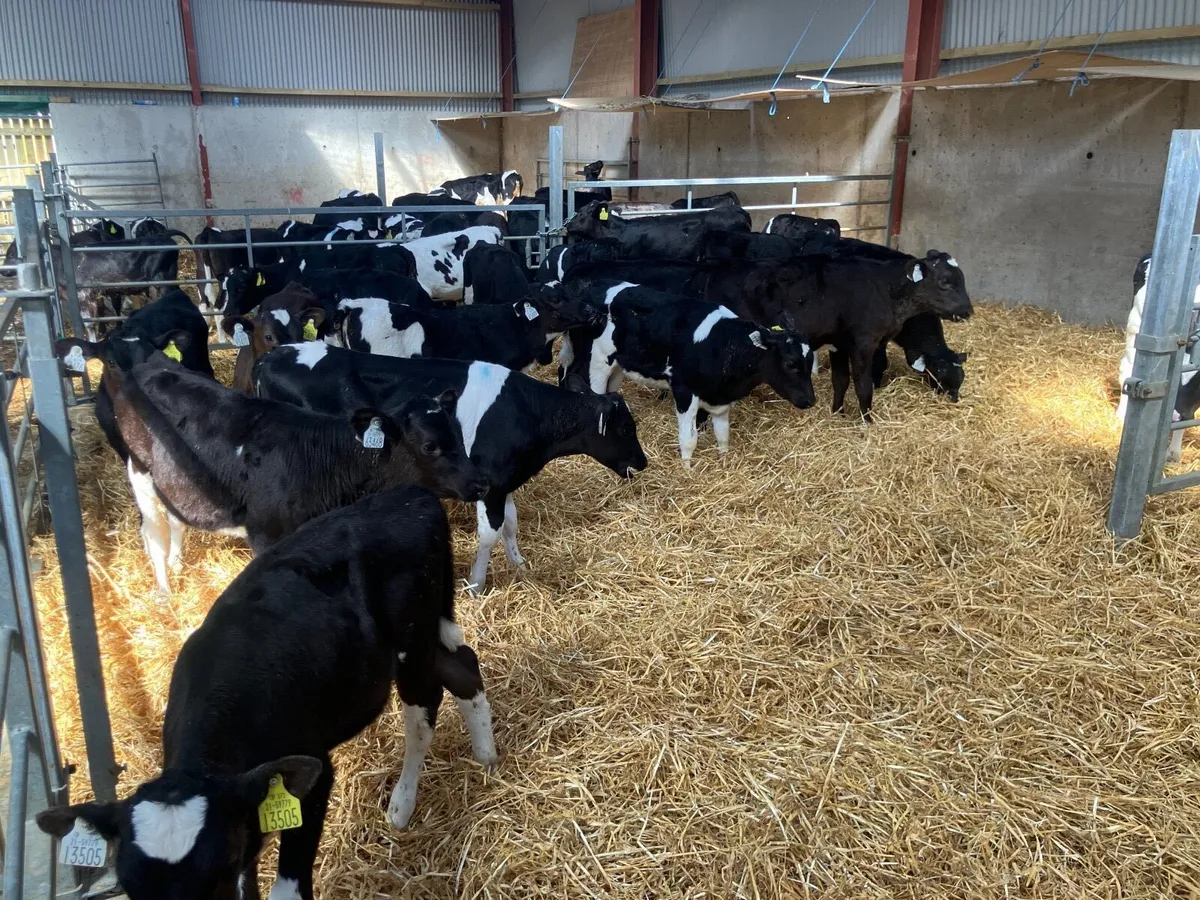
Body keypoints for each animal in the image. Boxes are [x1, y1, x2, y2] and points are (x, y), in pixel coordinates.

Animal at [36, 486, 497, 900]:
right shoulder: (245, 818)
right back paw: (486, 753)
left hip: (412, 642)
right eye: (130, 886)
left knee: (422, 713)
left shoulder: (311, 776)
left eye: (217, 874)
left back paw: (402, 803)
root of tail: (413, 495)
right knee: (463, 664)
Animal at [106, 356, 487, 592]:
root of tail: (149, 366)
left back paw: (177, 563)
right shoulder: (265, 536)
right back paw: (165, 592)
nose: (480, 483)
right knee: (153, 533)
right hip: (139, 471)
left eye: (459, 433)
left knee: (176, 518)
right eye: (429, 446)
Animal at [253, 345, 648, 592]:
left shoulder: (502, 481)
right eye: (626, 429)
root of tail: (270, 355)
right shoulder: (490, 482)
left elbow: (511, 524)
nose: (642, 462)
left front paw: (518, 564)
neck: (527, 414)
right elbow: (489, 534)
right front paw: (475, 585)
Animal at [563, 283, 816, 463]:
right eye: (791, 364)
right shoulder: (684, 390)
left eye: (810, 360)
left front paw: (724, 463)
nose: (810, 401)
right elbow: (688, 440)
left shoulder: (720, 398)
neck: (723, 344)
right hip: (598, 360)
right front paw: (687, 471)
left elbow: (723, 436)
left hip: (618, 365)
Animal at [700, 250, 972, 420]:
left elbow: (840, 381)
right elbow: (863, 386)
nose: (968, 310)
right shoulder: (864, 344)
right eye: (945, 281)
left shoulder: (839, 344)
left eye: (962, 278)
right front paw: (866, 423)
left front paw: (837, 414)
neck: (885, 289)